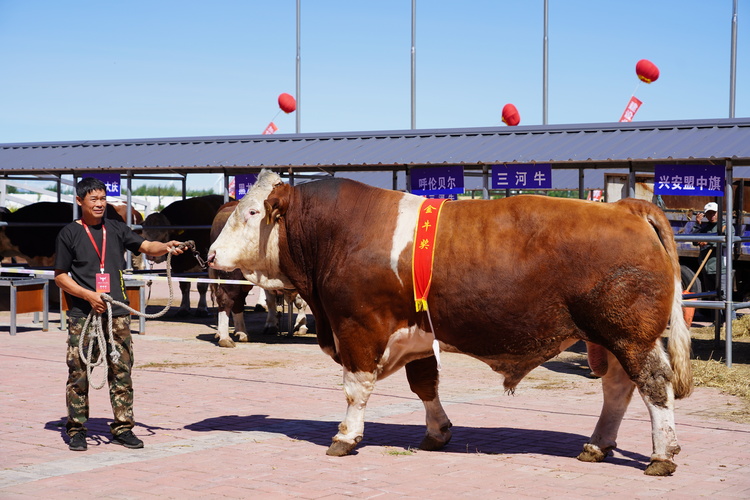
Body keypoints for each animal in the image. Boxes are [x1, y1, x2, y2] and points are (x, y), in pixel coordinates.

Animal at [206, 170, 692, 474]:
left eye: (252, 213)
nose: (209, 254)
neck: (339, 233)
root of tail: (626, 207)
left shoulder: (356, 328)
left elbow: (355, 388)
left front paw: (345, 437)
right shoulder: (417, 334)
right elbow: (424, 386)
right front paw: (438, 433)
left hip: (628, 336)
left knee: (654, 386)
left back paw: (662, 456)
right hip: (607, 338)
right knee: (618, 389)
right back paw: (596, 445)